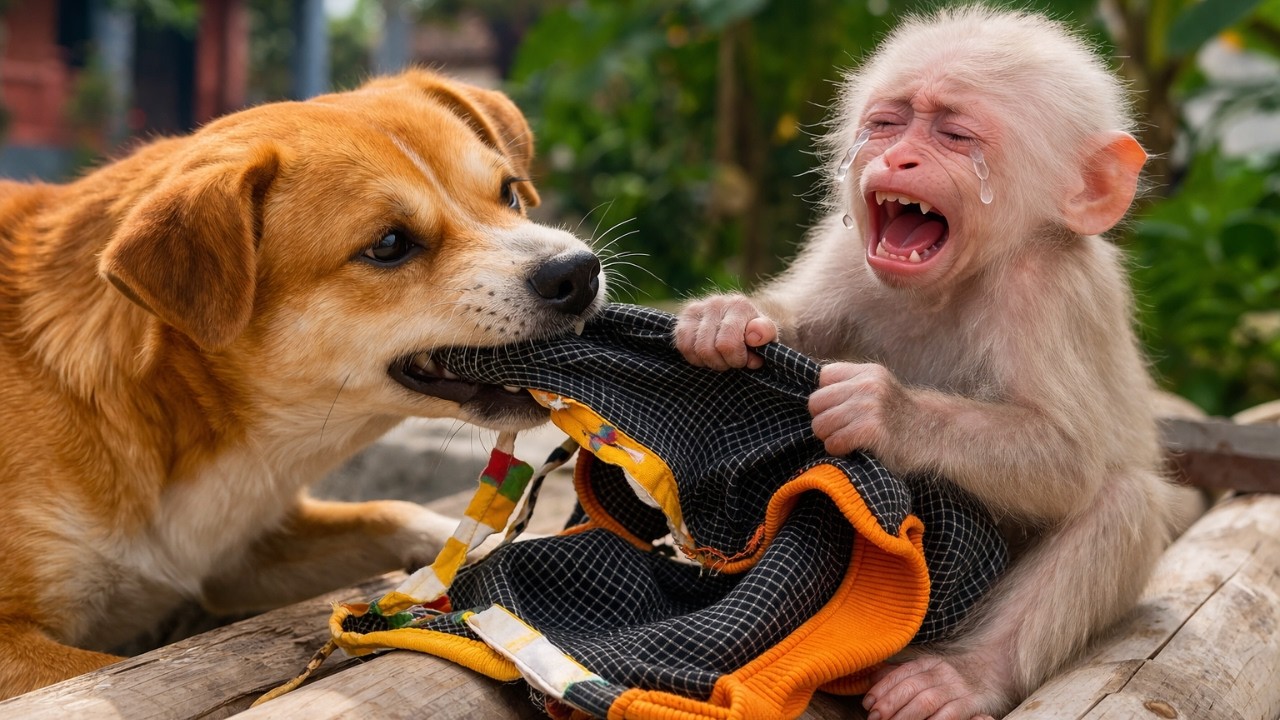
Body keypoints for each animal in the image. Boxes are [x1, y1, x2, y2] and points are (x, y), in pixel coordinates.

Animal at [675, 7, 1203, 719]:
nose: (899, 156)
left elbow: (1066, 459)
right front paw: (727, 319)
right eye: (888, 123)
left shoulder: (1045, 287)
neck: (949, 286)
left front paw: (884, 412)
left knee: (1121, 499)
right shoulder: (849, 249)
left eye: (954, 135)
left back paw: (966, 676)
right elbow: (802, 320)